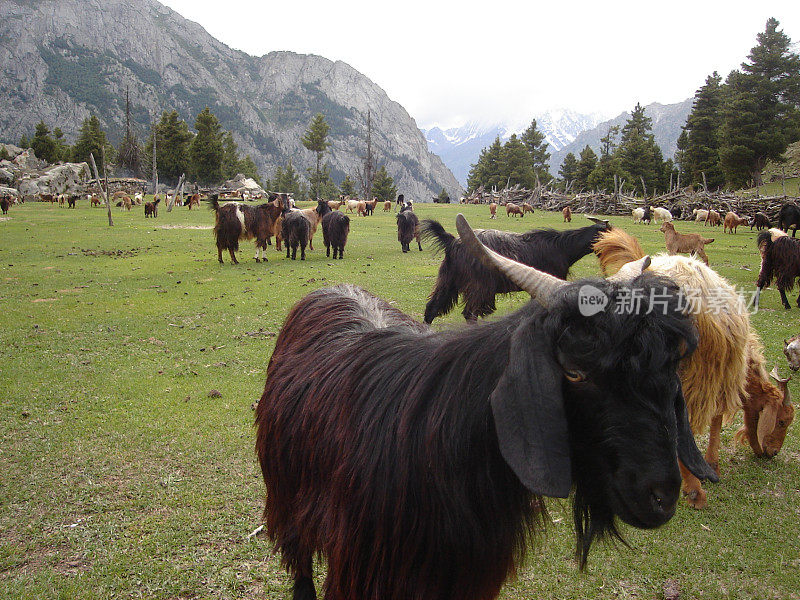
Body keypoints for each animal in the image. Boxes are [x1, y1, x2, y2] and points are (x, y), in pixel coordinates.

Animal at [592, 227, 792, 508]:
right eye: (784, 421)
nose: (771, 453)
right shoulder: (716, 376)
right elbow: (714, 420)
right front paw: (706, 471)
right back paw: (693, 489)